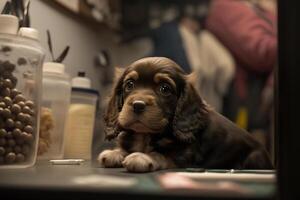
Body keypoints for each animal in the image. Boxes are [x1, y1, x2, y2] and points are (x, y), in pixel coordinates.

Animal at [97, 56, 274, 172]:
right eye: (129, 85)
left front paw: (142, 157)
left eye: (165, 89)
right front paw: (115, 153)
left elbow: (160, 154)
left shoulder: (184, 155)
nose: (137, 105)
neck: (145, 135)